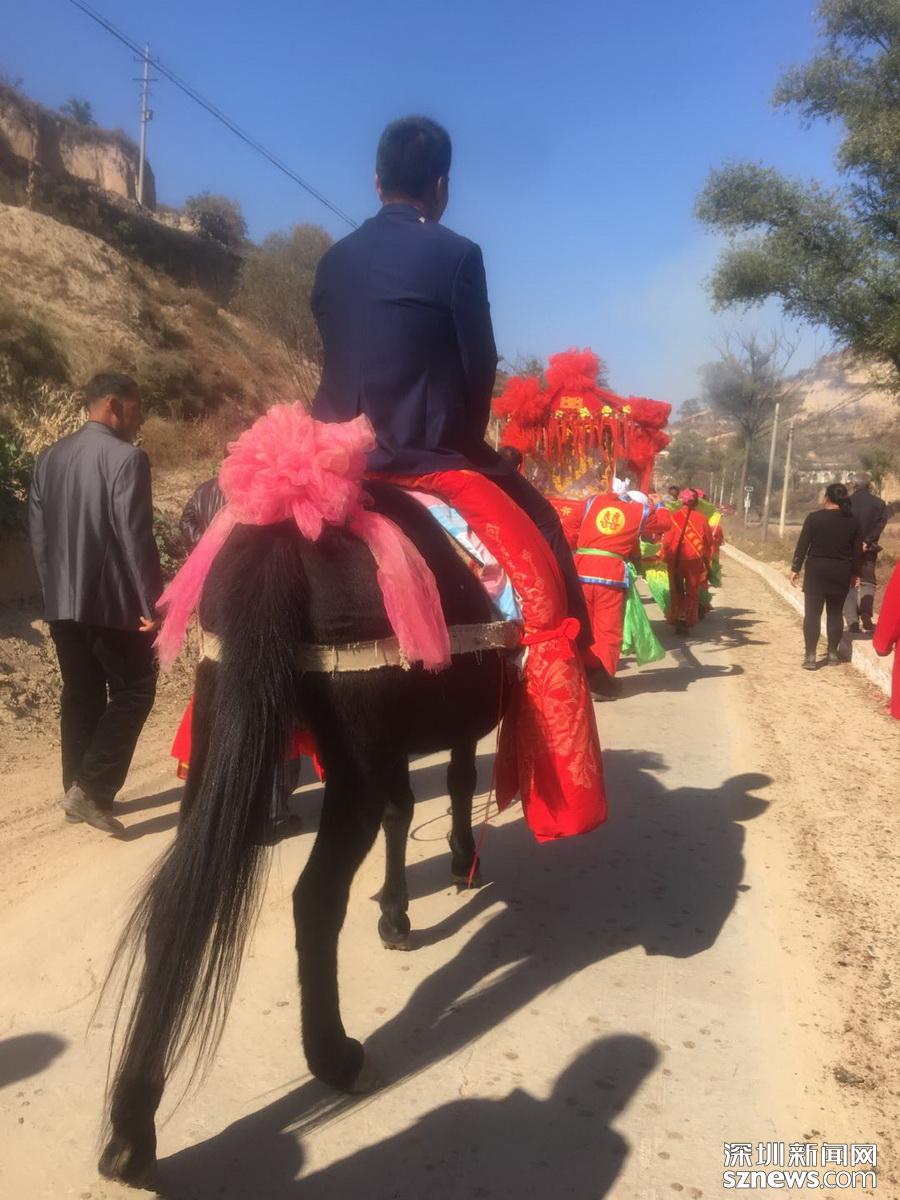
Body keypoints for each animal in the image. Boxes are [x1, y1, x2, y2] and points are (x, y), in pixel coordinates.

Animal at [98, 481, 515, 1187]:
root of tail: (285, 535)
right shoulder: (431, 739)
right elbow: (455, 785)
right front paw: (460, 864)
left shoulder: (393, 753)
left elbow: (404, 813)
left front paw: (396, 913)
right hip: (351, 760)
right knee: (314, 899)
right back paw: (336, 1057)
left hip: (222, 723)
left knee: (176, 900)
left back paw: (131, 1130)